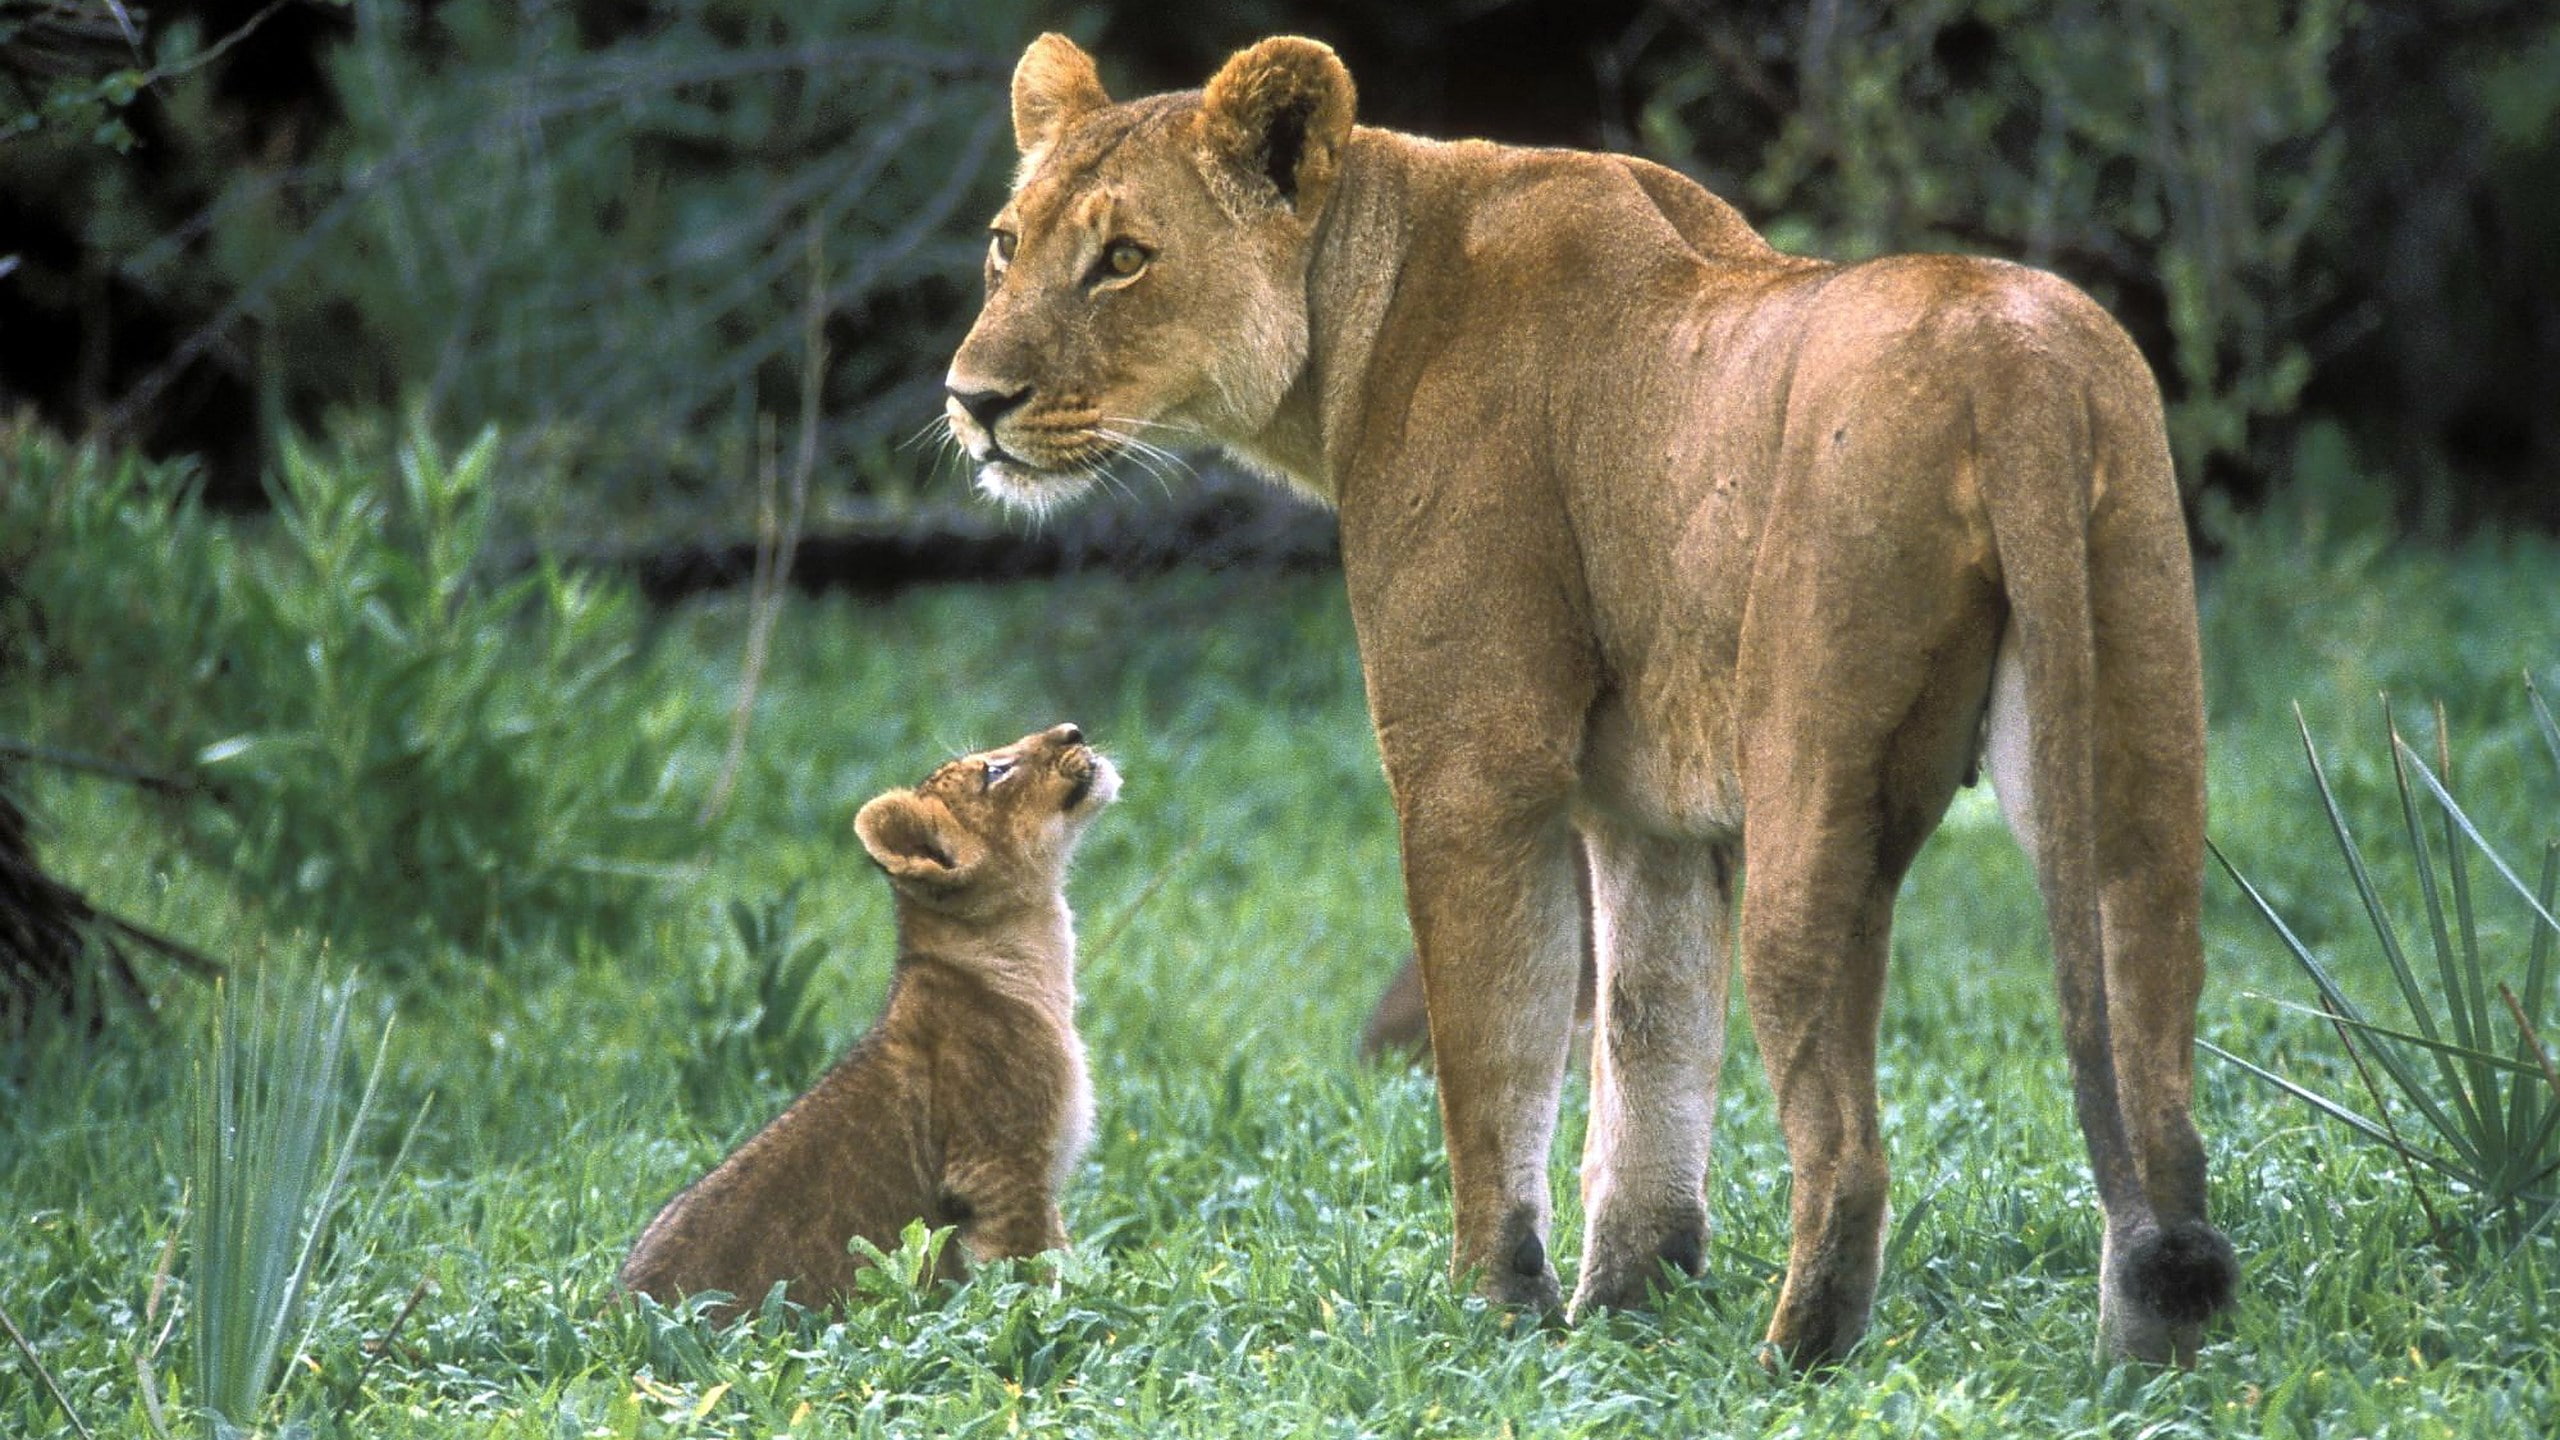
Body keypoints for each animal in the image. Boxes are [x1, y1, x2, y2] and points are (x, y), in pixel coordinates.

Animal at [618, 724, 1116, 1323]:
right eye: (995, 771)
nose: (1073, 730)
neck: (1033, 956)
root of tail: (612, 1317)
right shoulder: (998, 1170)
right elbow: (1033, 1276)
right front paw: (1058, 1324)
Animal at [944, 35, 2236, 1368]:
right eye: (1005, 244)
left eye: (1123, 259)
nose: (971, 399)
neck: (1359, 306)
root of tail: (2019, 366)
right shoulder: (1645, 815)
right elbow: (1650, 1045)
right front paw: (1629, 1308)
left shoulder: (1474, 770)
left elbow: (1494, 1058)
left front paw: (1493, 1311)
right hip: (2131, 741)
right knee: (2158, 1086)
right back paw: (2150, 1349)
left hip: (1815, 795)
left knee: (1849, 1151)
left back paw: (1787, 1366)